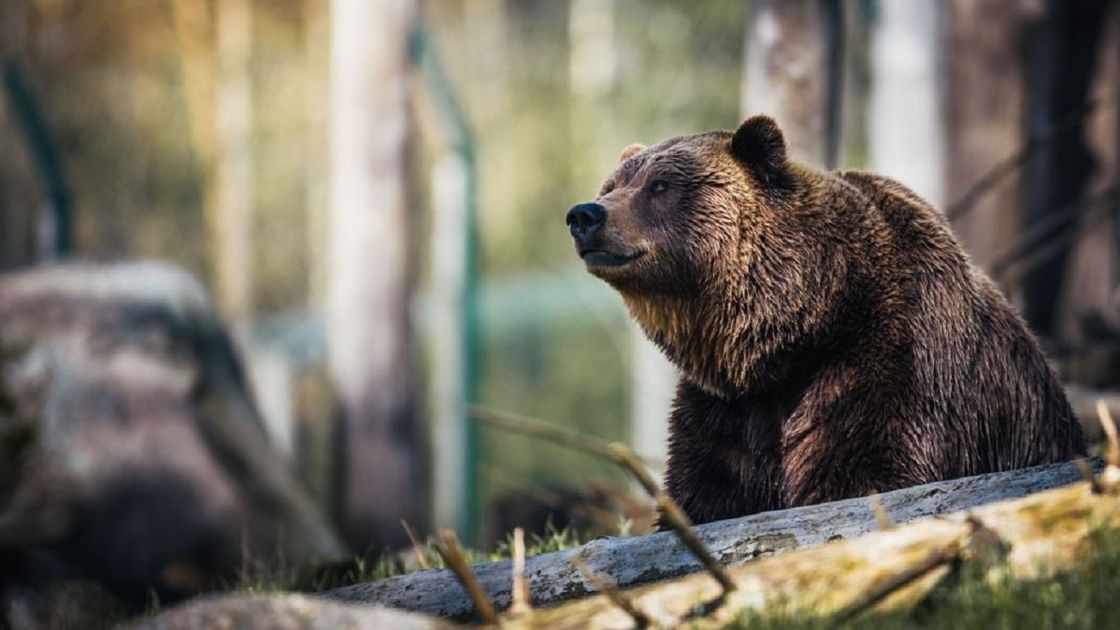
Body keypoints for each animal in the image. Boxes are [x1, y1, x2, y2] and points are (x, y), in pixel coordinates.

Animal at [565, 115, 1087, 525]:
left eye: (660, 185)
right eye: (612, 186)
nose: (585, 215)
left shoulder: (890, 360)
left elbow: (865, 471)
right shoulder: (727, 408)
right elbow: (707, 492)